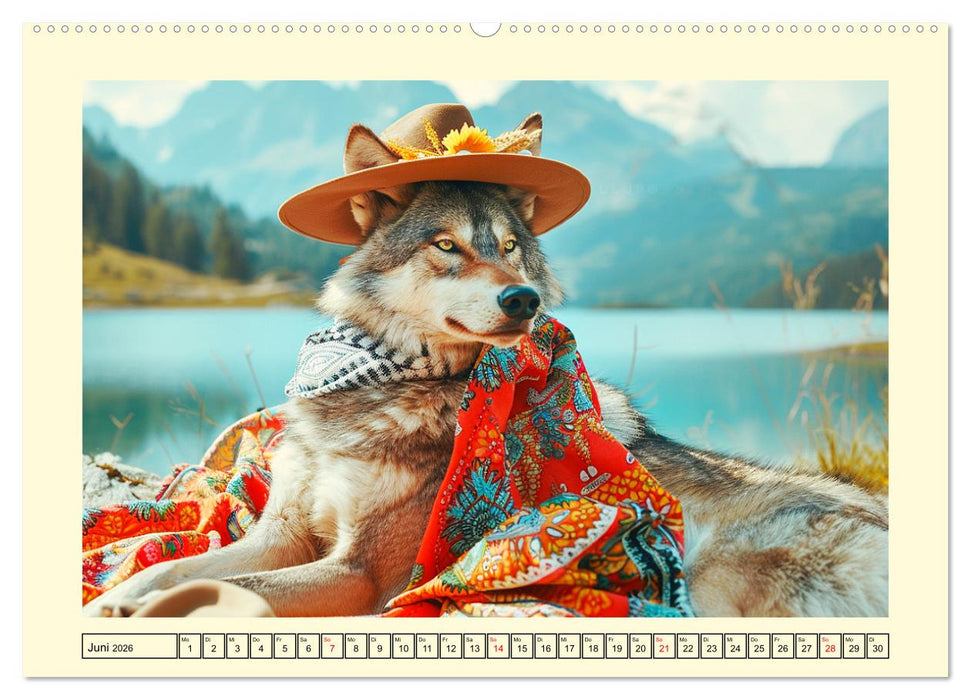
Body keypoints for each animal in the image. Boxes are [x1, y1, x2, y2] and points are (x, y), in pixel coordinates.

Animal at [84, 126, 888, 618]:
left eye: (509, 247)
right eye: (446, 245)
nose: (522, 298)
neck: (383, 385)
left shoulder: (361, 573)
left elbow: (221, 586)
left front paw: (134, 609)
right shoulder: (283, 533)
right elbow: (172, 569)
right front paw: (111, 598)